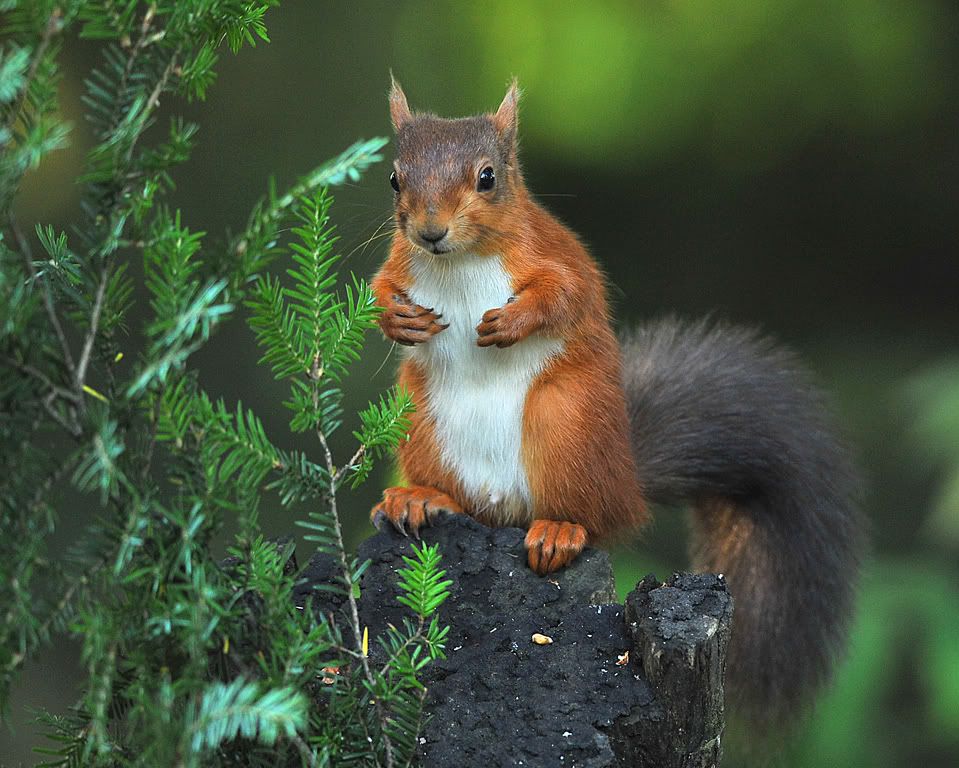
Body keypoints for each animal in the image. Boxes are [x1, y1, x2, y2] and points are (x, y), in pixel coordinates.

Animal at [368, 79, 864, 728]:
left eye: (487, 177)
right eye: (394, 179)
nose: (429, 232)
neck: (460, 262)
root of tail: (626, 480)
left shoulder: (554, 253)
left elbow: (567, 294)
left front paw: (513, 321)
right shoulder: (400, 263)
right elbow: (378, 287)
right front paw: (396, 318)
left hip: (565, 420)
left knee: (596, 520)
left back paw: (560, 531)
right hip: (421, 419)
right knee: (462, 499)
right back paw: (420, 497)